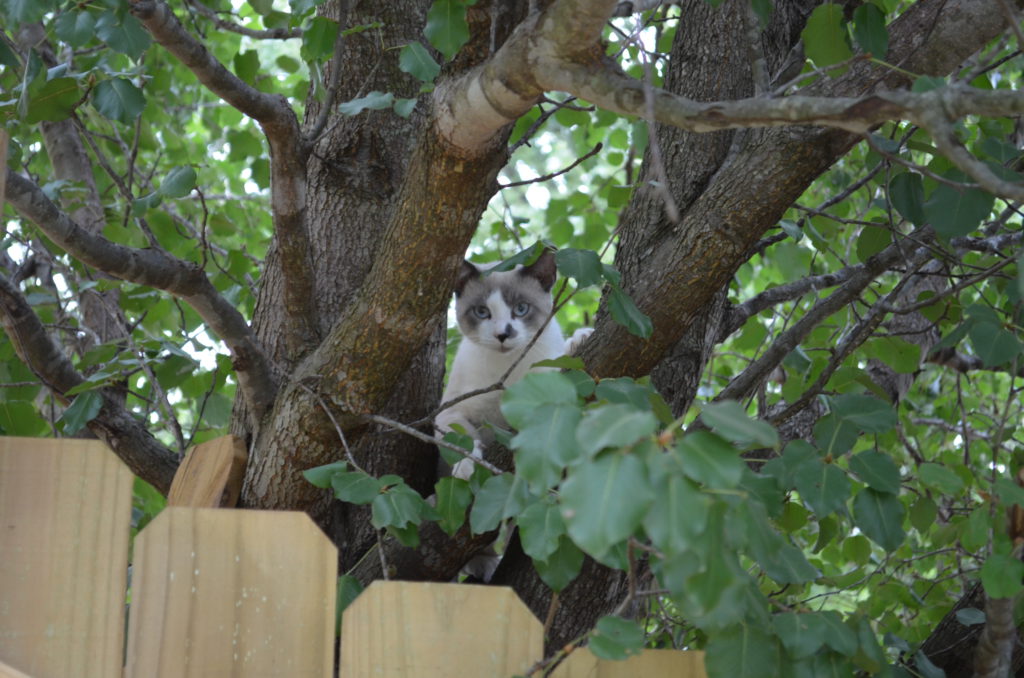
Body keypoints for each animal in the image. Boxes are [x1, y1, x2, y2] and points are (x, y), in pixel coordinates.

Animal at [434, 250, 593, 483]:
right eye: (482, 312)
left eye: (521, 309)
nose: (502, 334)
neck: (508, 366)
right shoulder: (450, 410)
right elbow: (458, 439)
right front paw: (466, 469)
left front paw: (580, 339)